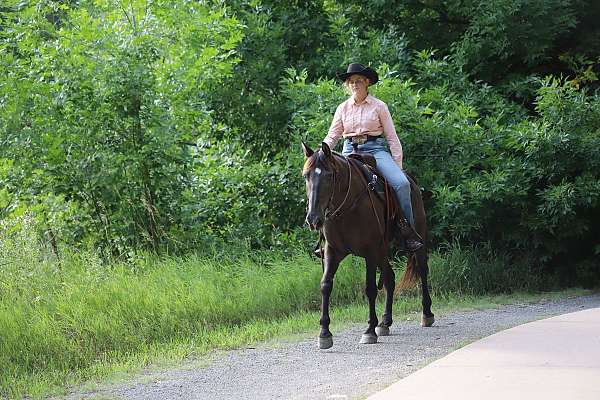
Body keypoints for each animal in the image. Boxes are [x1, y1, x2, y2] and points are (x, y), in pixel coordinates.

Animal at [302, 142, 434, 348]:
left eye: (329, 176)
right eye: (306, 175)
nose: (314, 219)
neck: (347, 207)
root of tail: (410, 179)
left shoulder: (370, 251)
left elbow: (370, 288)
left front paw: (369, 330)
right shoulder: (333, 252)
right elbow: (326, 285)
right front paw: (324, 333)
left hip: (414, 242)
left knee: (422, 270)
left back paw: (427, 314)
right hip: (381, 251)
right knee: (389, 278)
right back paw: (385, 322)